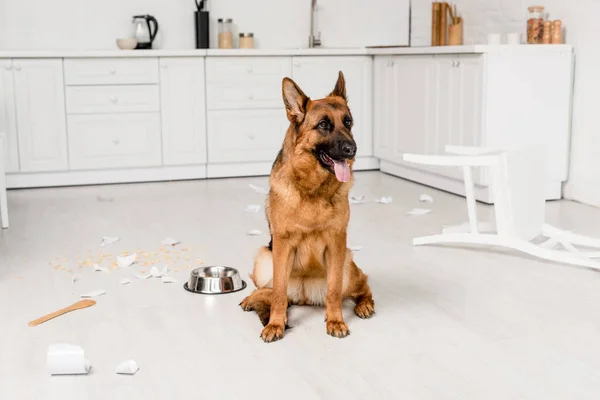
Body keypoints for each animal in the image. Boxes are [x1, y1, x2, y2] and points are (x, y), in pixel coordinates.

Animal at [240, 71, 376, 340]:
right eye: (323, 124)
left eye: (348, 122)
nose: (353, 149)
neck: (312, 189)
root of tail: (304, 296)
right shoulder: (282, 245)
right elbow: (278, 293)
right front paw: (275, 323)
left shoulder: (336, 243)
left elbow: (333, 291)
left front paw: (335, 321)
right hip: (264, 257)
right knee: (272, 291)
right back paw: (253, 298)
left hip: (347, 263)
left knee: (362, 284)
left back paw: (364, 304)